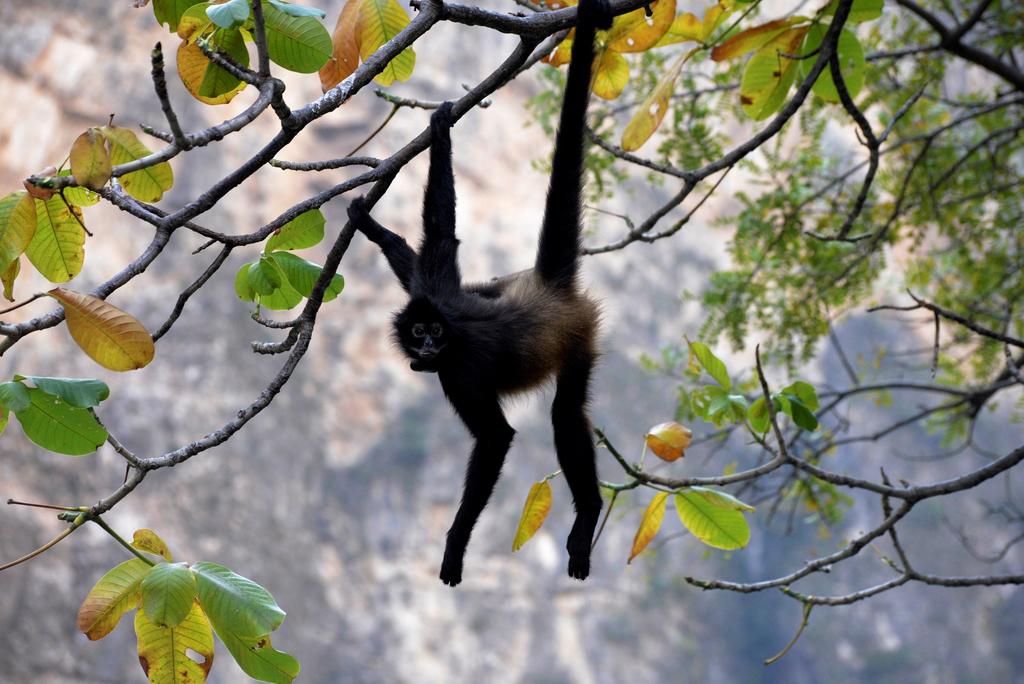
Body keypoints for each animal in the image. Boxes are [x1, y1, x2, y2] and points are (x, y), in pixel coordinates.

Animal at [348, 0, 610, 589]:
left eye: (434, 334)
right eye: (418, 331)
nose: (424, 347)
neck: (450, 326)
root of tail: (547, 289)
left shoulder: (459, 369)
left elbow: (496, 439)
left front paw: (454, 545)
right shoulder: (436, 290)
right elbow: (434, 246)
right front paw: (369, 224)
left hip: (579, 333)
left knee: (564, 411)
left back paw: (588, 514)